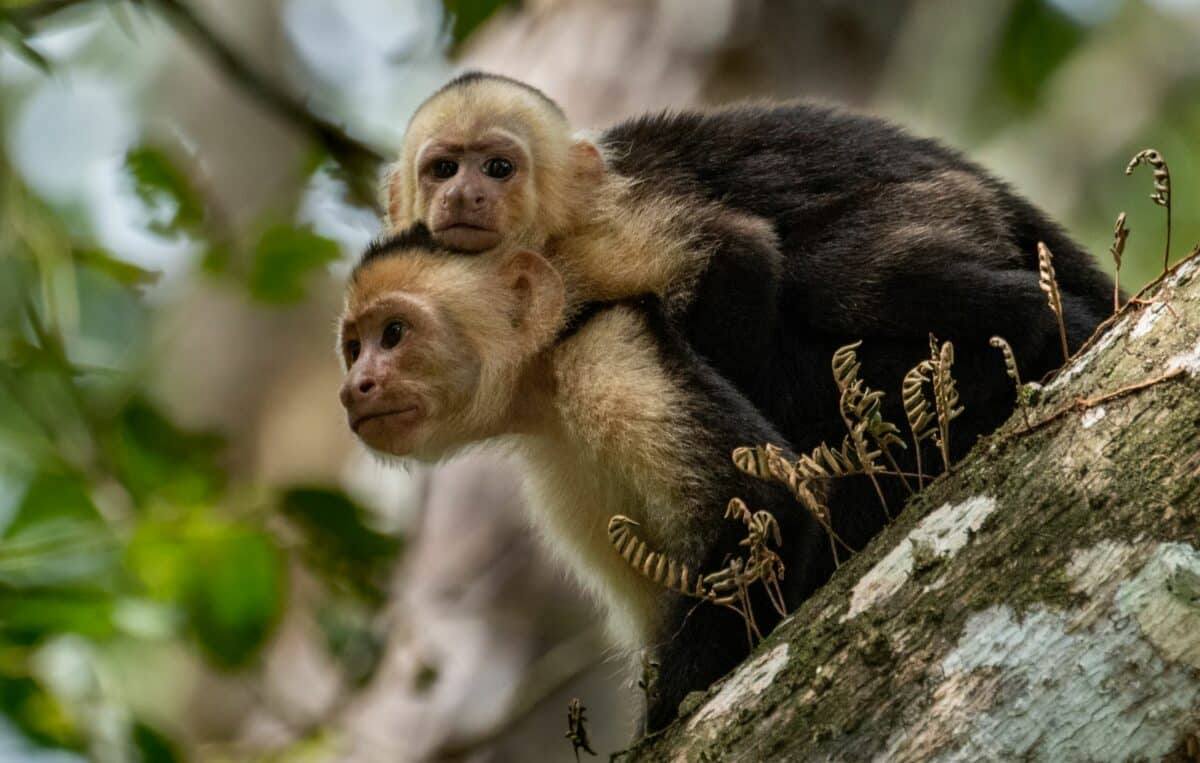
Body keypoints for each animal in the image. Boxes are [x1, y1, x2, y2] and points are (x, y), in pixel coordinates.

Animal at [333, 231, 830, 734]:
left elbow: (765, 505)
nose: (353, 388)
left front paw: (662, 719)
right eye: (354, 349)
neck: (542, 378)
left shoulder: (606, 352)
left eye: (393, 333)